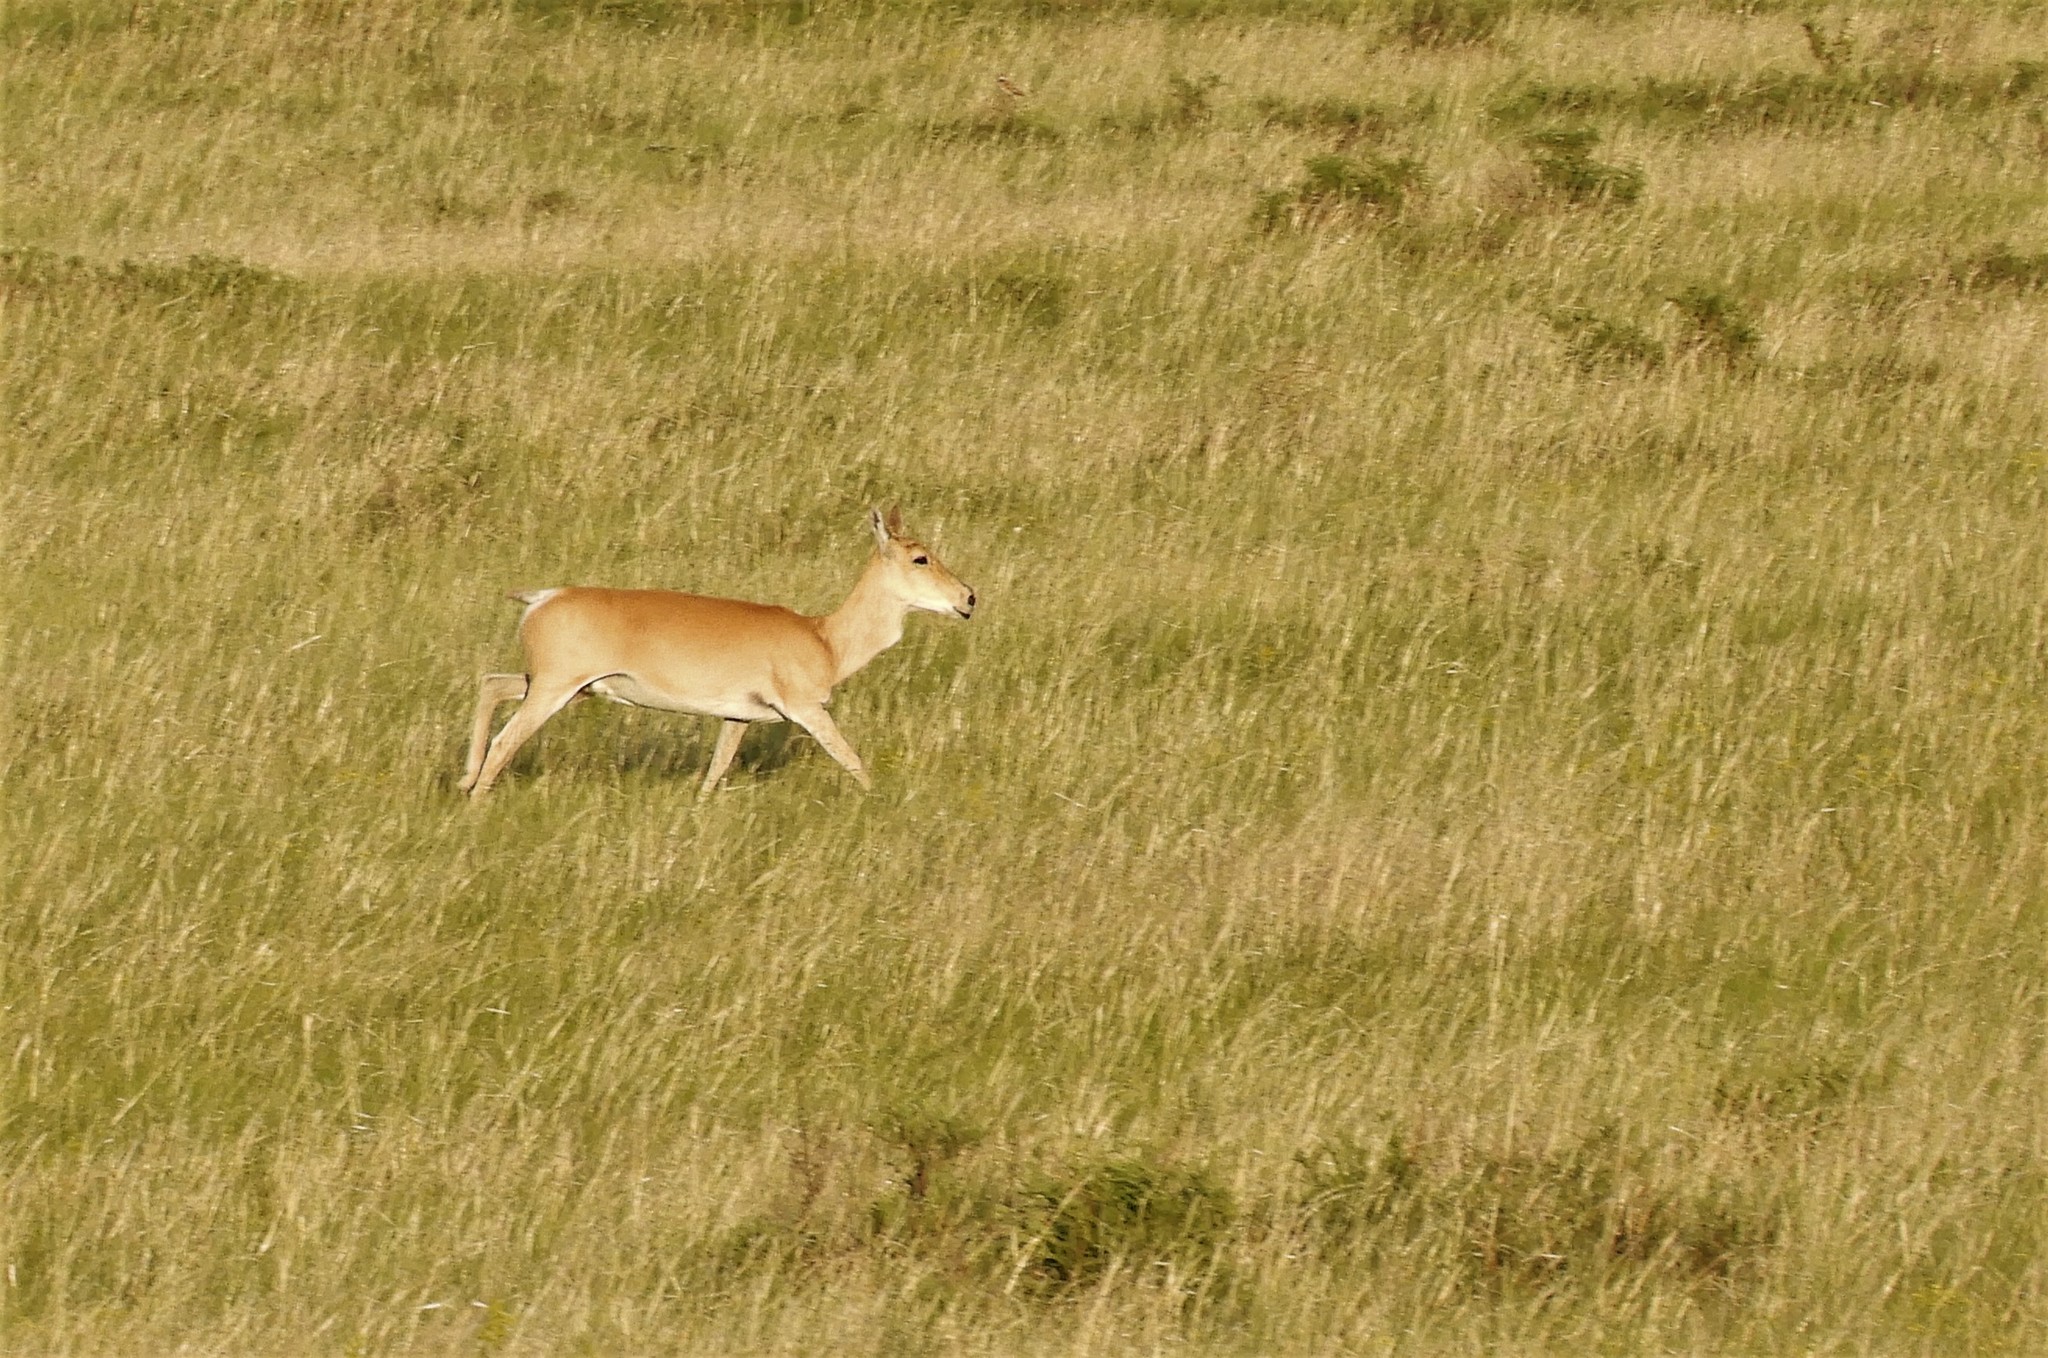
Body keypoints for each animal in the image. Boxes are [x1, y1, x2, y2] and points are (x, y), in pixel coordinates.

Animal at [460, 512, 970, 807]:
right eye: (921, 557)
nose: (969, 597)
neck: (824, 637)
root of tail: (544, 597)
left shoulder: (737, 718)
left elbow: (716, 769)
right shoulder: (807, 709)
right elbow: (852, 759)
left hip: (565, 687)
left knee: (491, 684)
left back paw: (465, 780)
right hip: (555, 688)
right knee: (506, 739)